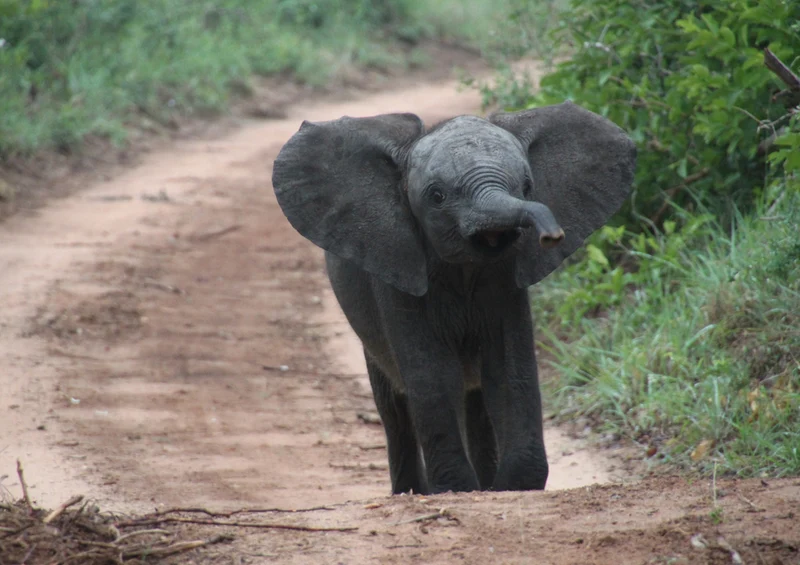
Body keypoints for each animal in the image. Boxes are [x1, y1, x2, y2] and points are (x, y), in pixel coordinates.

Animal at [271, 101, 636, 494]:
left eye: (527, 186)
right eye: (437, 196)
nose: (551, 235)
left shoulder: (505, 278)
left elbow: (506, 368)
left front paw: (515, 485)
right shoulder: (397, 266)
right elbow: (434, 374)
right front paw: (455, 487)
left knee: (474, 399)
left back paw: (484, 484)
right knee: (393, 405)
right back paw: (412, 491)